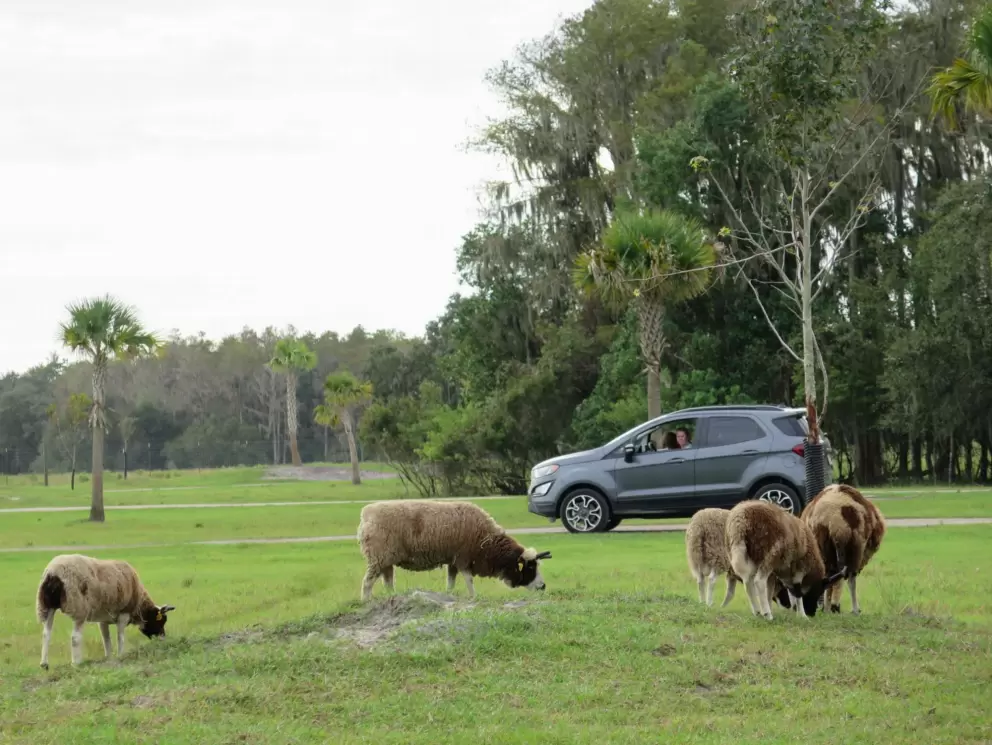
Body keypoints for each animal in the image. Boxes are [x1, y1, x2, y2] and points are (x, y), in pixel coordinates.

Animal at [36, 554, 175, 669]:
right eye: (160, 621)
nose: (163, 639)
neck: (139, 606)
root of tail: (54, 573)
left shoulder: (102, 619)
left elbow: (106, 639)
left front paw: (109, 657)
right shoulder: (123, 614)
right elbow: (120, 637)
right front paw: (120, 655)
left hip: (46, 606)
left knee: (46, 633)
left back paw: (44, 664)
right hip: (79, 607)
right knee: (75, 637)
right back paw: (76, 663)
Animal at [357, 499, 552, 602]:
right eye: (530, 567)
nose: (543, 586)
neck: (488, 543)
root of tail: (366, 514)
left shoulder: (453, 560)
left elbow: (451, 581)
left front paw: (449, 595)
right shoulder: (463, 558)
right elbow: (469, 580)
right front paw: (474, 597)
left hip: (386, 559)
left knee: (388, 582)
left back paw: (393, 598)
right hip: (378, 557)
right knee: (367, 582)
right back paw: (366, 602)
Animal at [801, 484, 886, 615]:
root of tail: (835, 521)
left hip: (823, 546)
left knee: (829, 575)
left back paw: (827, 608)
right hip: (855, 547)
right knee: (849, 577)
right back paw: (854, 609)